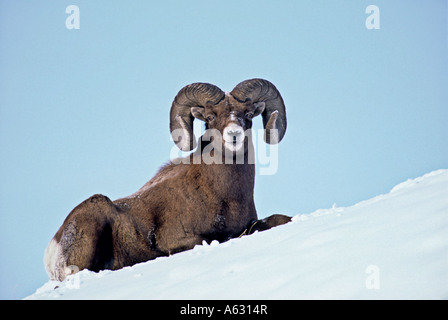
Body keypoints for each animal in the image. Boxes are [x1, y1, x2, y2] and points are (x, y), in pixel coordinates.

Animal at [44, 79, 290, 280]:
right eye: (210, 117)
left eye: (248, 115)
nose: (234, 135)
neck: (227, 196)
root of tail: (52, 250)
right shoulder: (180, 239)